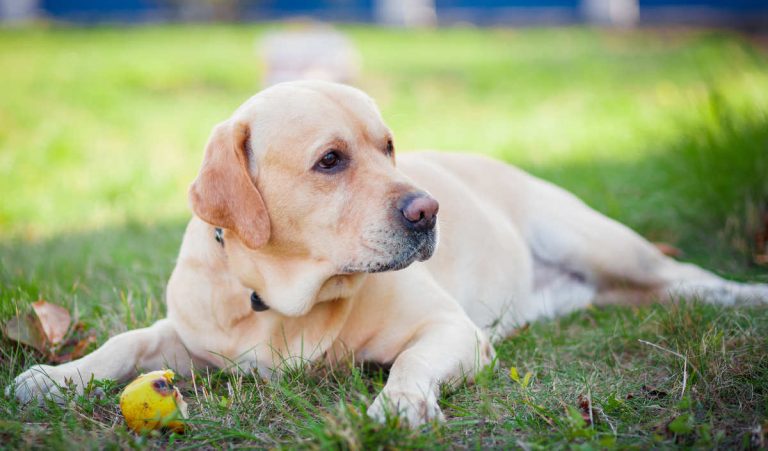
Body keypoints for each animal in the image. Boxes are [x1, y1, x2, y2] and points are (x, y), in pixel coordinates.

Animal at [10, 80, 768, 428]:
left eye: (389, 146)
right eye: (330, 160)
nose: (430, 210)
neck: (283, 301)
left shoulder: (451, 330)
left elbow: (410, 362)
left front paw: (400, 404)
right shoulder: (188, 334)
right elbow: (125, 343)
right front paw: (53, 377)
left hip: (603, 242)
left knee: (690, 280)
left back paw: (748, 295)